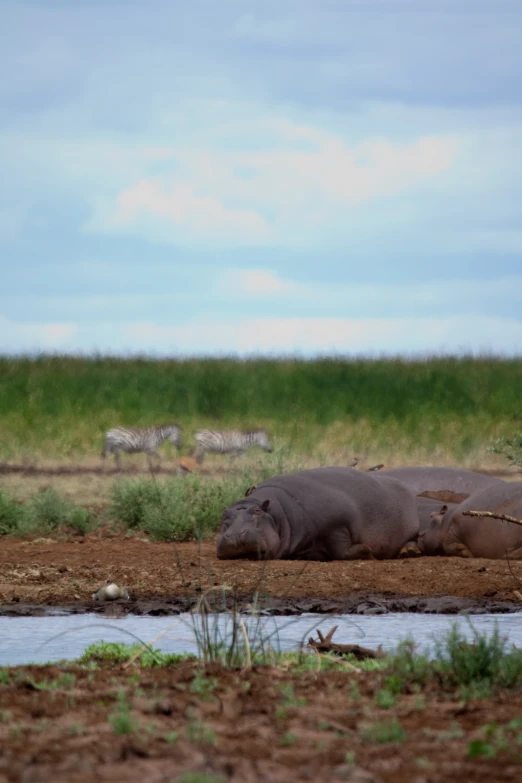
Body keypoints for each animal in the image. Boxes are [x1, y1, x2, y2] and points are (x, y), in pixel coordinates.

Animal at [215, 466, 418, 564]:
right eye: (224, 514)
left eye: (257, 511)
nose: (235, 536)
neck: (279, 514)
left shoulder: (337, 526)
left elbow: (342, 550)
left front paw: (368, 551)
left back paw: (409, 551)